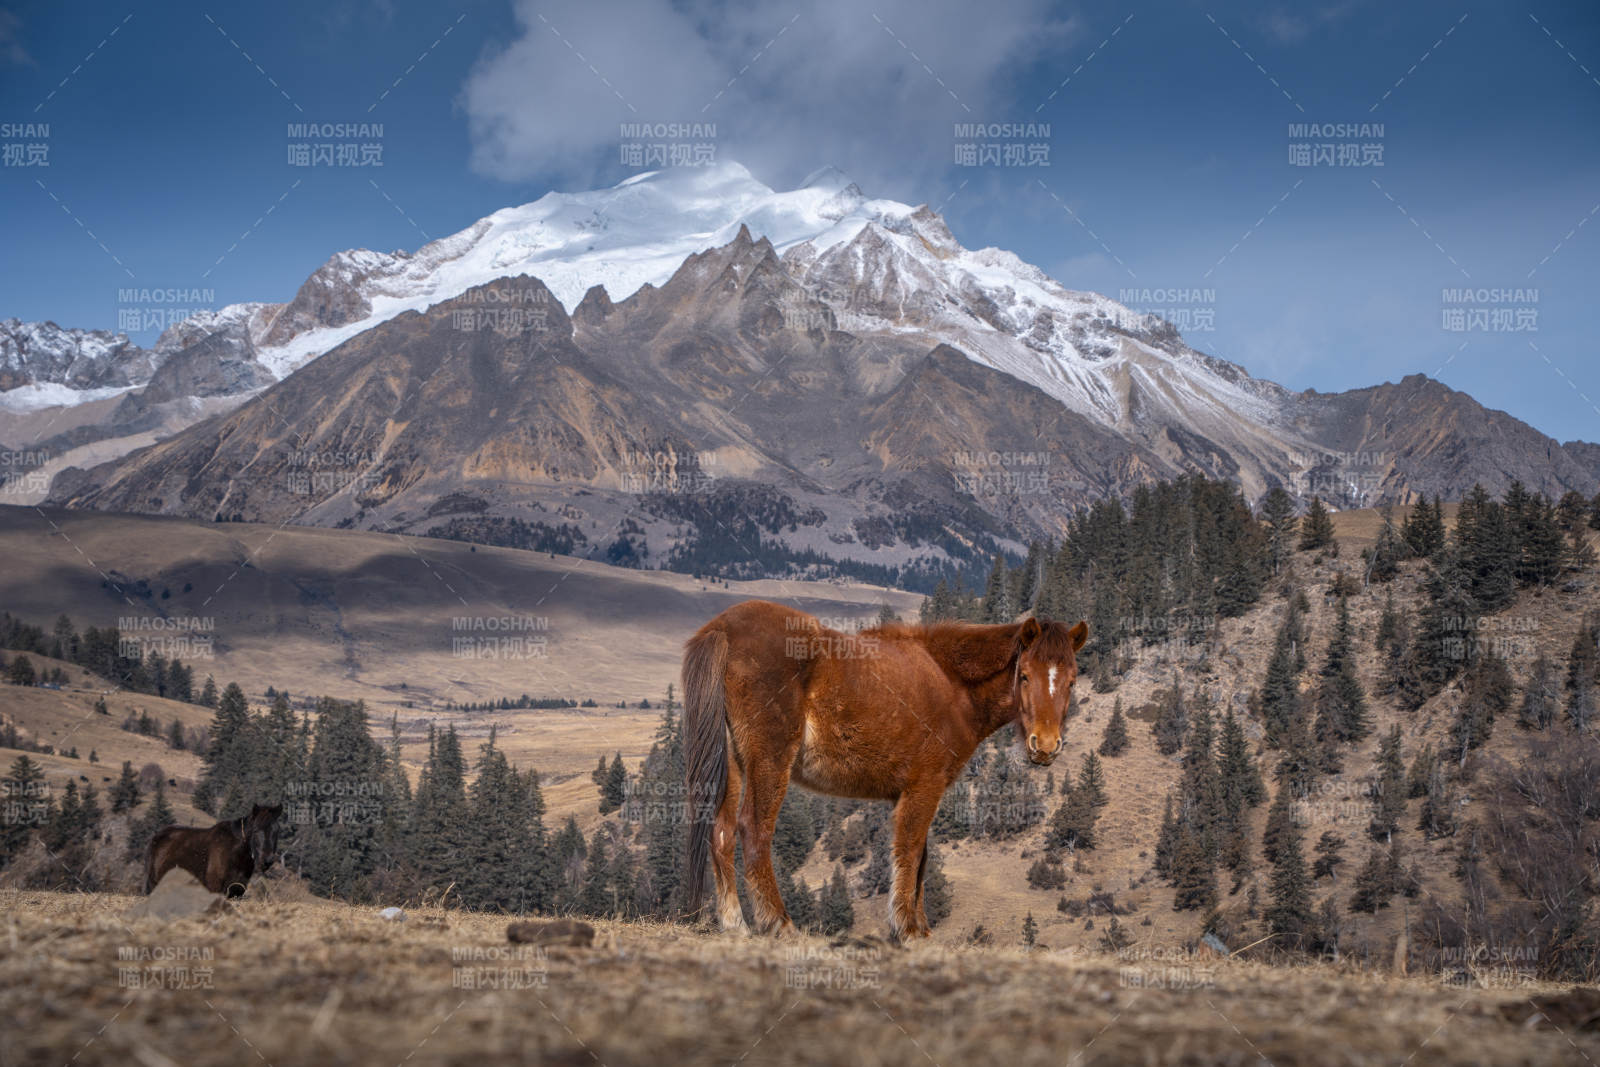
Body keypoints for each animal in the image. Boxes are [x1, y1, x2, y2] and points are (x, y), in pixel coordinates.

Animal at [144, 803, 284, 897]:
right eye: (256, 830)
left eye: (277, 830)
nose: (267, 861)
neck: (235, 854)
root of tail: (156, 838)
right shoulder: (215, 889)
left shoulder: (237, 892)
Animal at [683, 600, 1086, 941]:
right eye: (1025, 676)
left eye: (1071, 680)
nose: (1045, 746)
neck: (950, 680)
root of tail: (723, 628)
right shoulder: (924, 786)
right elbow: (909, 851)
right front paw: (907, 928)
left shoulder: (912, 792)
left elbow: (920, 858)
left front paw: (919, 928)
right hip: (769, 759)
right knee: (753, 829)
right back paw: (779, 924)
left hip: (734, 762)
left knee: (721, 832)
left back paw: (735, 924)